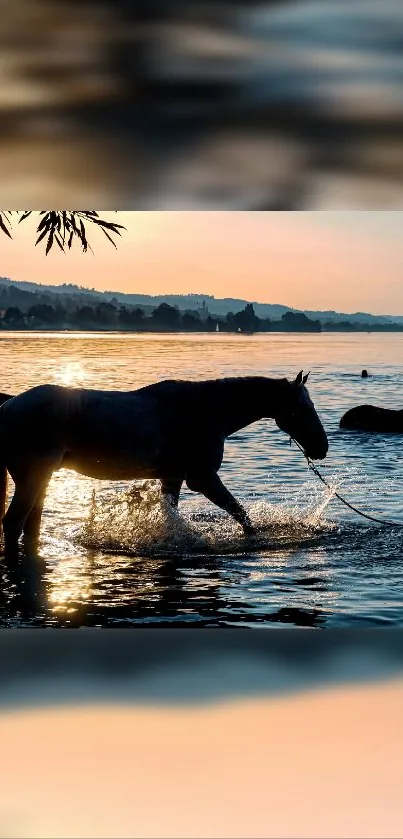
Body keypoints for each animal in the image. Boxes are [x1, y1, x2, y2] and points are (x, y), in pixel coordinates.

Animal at [0, 370, 328, 556]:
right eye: (301, 409)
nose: (322, 448)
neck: (206, 411)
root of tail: (8, 406)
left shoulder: (173, 478)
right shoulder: (203, 478)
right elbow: (241, 515)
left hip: (40, 480)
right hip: (33, 477)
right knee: (12, 523)